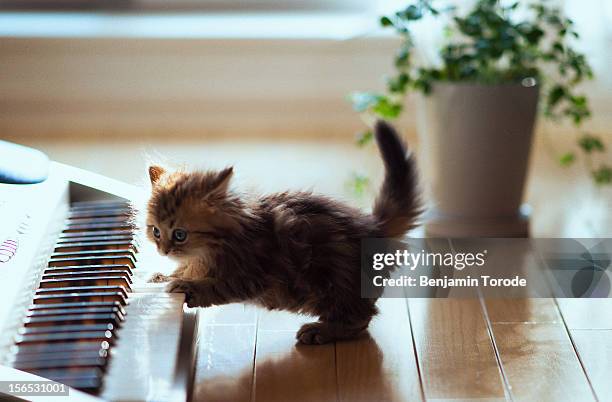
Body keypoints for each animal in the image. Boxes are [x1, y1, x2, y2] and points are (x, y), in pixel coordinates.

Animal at [145, 121, 420, 344]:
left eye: (180, 235)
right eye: (156, 231)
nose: (163, 250)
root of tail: (371, 226)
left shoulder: (251, 274)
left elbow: (217, 287)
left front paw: (189, 286)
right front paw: (162, 277)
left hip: (334, 281)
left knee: (361, 318)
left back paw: (321, 331)